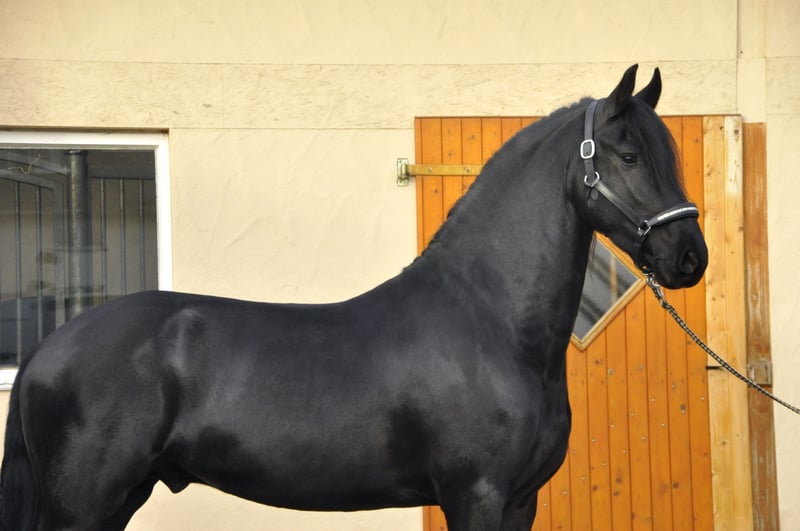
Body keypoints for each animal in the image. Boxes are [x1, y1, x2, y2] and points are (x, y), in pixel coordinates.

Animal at [0, 64, 707, 531]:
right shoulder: (475, 494)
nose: (690, 258)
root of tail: (44, 350)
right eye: (627, 156)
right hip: (85, 505)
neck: (490, 325)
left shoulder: (519, 501)